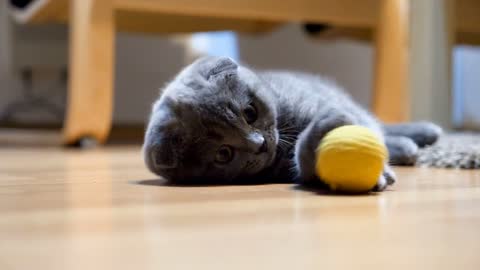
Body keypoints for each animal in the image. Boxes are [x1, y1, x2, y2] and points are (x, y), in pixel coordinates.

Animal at [142, 56, 442, 191]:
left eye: (249, 112)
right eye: (223, 154)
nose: (259, 144)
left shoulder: (316, 102)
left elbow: (356, 122)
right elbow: (308, 167)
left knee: (377, 124)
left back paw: (423, 134)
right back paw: (407, 147)